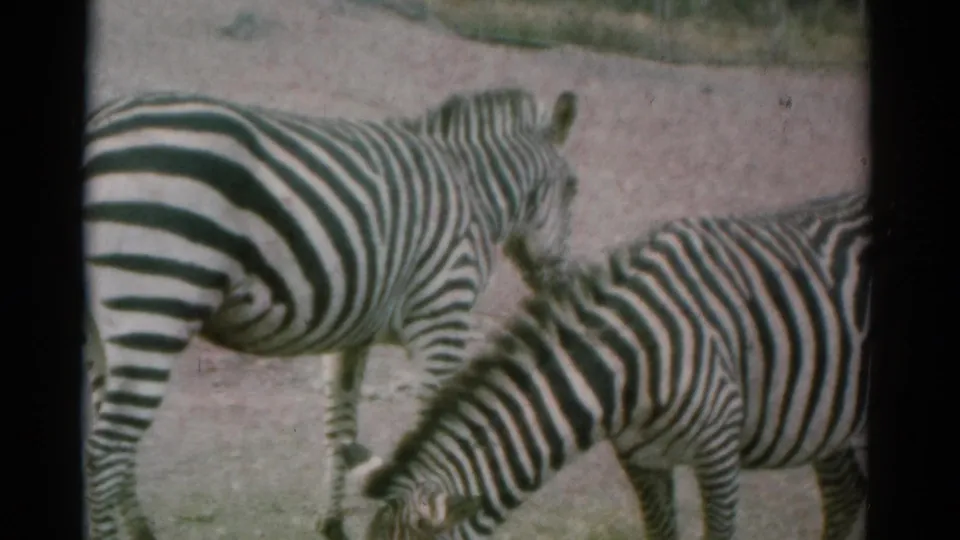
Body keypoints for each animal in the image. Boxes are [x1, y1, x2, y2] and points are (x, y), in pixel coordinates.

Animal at [82, 86, 581, 540]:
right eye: (573, 188)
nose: (560, 282)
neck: (473, 192)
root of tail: (101, 124)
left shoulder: (352, 332)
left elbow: (339, 427)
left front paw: (332, 522)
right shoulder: (443, 314)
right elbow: (433, 422)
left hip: (103, 330)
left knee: (111, 445)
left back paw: (141, 528)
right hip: (155, 306)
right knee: (105, 454)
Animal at [354, 190, 871, 540]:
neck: (627, 365)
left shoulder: (719, 450)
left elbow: (719, 531)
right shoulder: (639, 459)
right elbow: (661, 532)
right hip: (832, 420)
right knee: (845, 498)